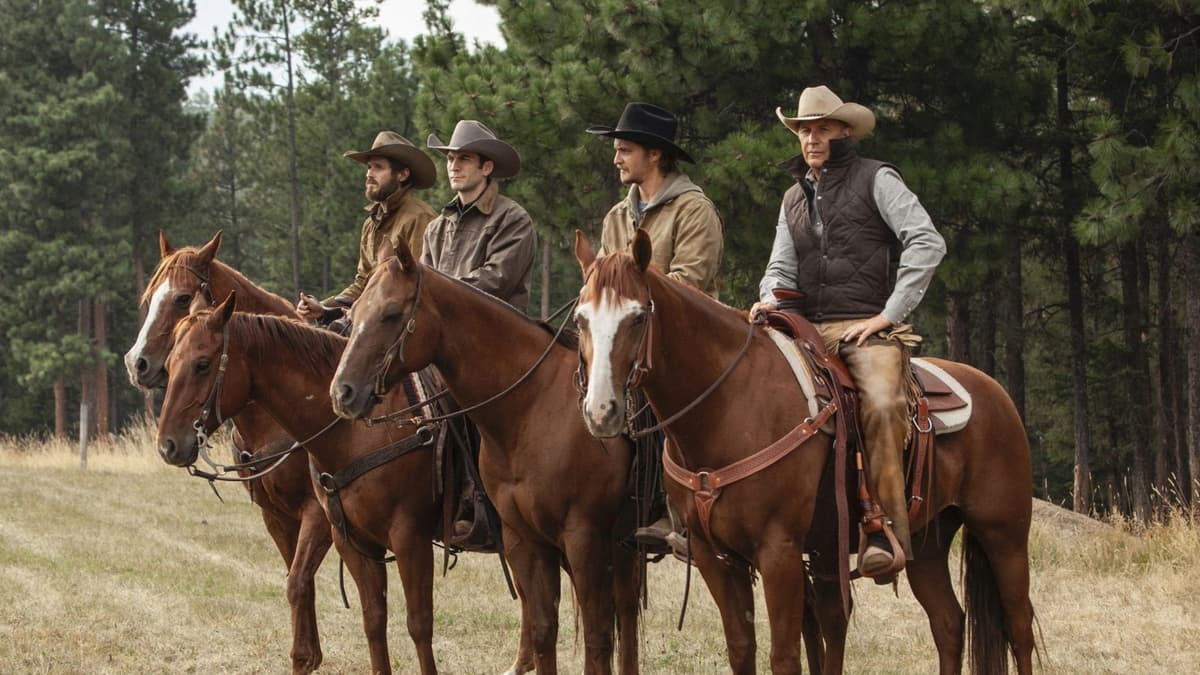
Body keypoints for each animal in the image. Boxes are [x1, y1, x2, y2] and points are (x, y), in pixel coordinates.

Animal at [122, 229, 333, 667]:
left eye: (183, 298)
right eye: (150, 297)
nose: (137, 364)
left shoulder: (318, 514)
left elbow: (298, 581)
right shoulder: (276, 517)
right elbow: (298, 582)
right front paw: (307, 655)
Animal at [326, 241, 648, 672]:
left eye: (391, 313)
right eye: (353, 313)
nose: (343, 392)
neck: (533, 406)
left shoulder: (584, 539)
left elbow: (597, 641)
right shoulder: (525, 541)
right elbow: (545, 631)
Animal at [576, 228, 1036, 667]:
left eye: (638, 317)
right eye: (581, 318)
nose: (601, 411)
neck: (729, 403)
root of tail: (996, 393)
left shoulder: (778, 551)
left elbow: (785, 654)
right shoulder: (715, 556)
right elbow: (742, 647)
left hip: (1004, 535)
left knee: (1019, 630)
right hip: (926, 544)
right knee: (948, 624)